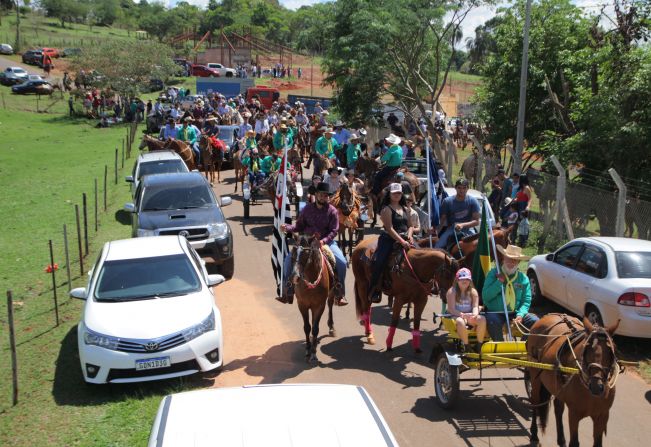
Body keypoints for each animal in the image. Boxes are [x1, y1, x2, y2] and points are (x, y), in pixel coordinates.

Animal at [294, 234, 338, 364]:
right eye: (293, 251)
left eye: (305, 253)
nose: (295, 276)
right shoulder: (302, 304)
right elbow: (307, 327)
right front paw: (308, 350)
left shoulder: (319, 305)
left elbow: (315, 328)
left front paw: (313, 353)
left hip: (331, 293)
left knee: (330, 304)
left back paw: (331, 327)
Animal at [524, 316, 620, 447]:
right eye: (586, 348)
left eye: (612, 350)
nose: (597, 386)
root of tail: (546, 317)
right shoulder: (574, 414)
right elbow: (574, 442)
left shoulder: (602, 415)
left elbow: (597, 443)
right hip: (535, 377)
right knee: (535, 402)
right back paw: (534, 434)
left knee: (558, 409)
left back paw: (561, 440)